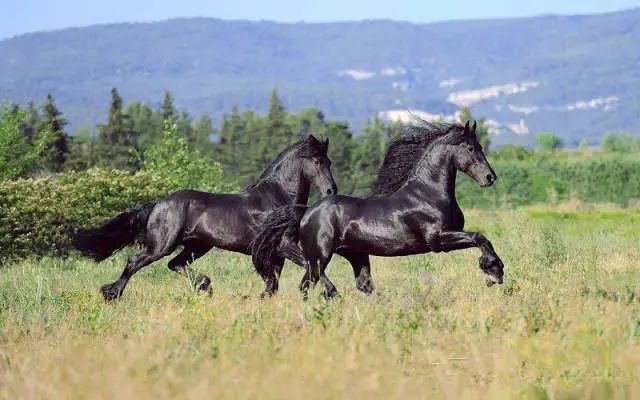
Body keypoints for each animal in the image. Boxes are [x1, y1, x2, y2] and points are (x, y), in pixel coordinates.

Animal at [72, 135, 338, 300]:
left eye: (330, 161)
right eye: (317, 161)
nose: (331, 190)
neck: (277, 197)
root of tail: (160, 203)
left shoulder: (274, 253)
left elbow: (273, 283)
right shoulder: (283, 245)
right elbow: (310, 265)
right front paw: (332, 293)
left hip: (197, 245)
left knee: (175, 264)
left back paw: (204, 285)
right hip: (162, 245)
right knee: (134, 262)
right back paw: (112, 294)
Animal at [251, 120, 504, 298]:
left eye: (480, 146)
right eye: (470, 148)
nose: (490, 177)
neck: (427, 193)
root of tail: (306, 212)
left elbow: (481, 239)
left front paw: (494, 271)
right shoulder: (437, 240)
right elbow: (479, 237)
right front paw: (494, 271)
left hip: (355, 254)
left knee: (360, 285)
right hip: (319, 256)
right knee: (308, 282)